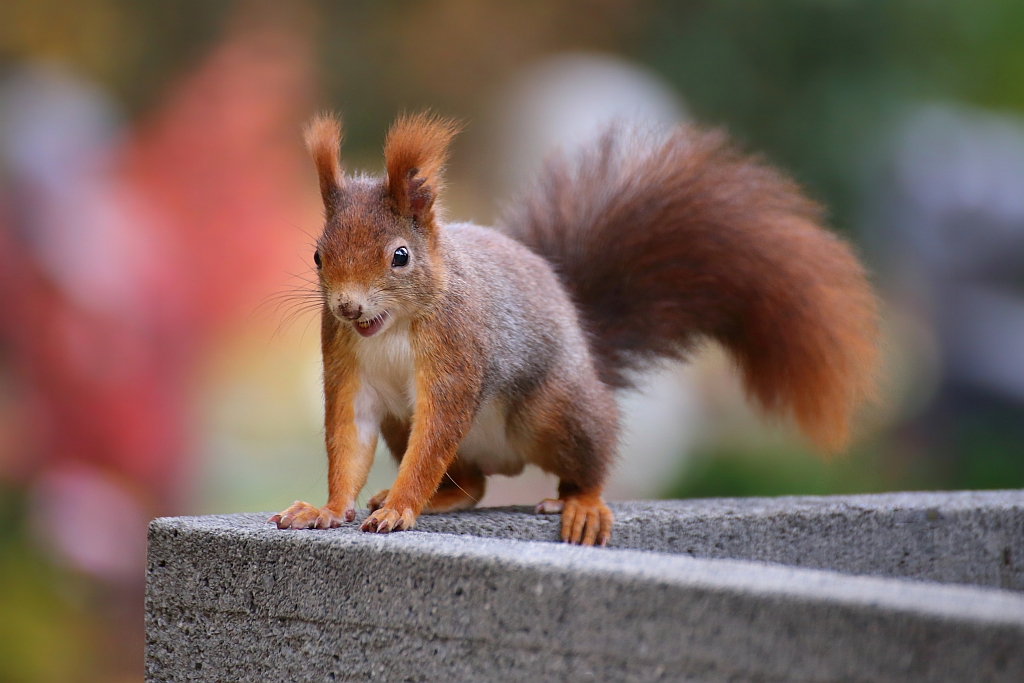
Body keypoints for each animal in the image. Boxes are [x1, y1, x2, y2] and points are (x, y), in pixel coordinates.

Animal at [270, 114, 880, 548]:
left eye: (400, 256)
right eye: (319, 255)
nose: (348, 306)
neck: (391, 329)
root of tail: (587, 348)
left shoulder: (458, 348)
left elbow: (437, 431)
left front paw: (401, 506)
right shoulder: (346, 362)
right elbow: (348, 437)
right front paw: (327, 510)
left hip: (556, 409)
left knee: (588, 457)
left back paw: (581, 503)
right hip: (408, 424)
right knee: (474, 485)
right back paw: (444, 498)